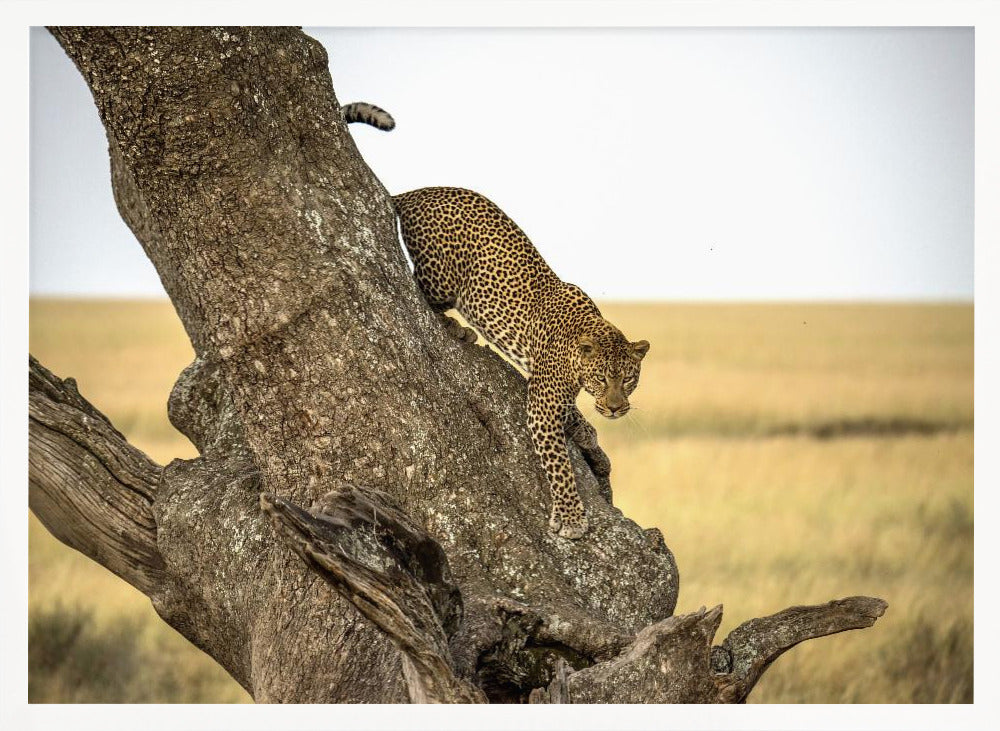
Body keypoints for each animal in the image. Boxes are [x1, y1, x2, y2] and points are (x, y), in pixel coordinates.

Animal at [394, 187, 652, 544]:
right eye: (601, 379)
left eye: (628, 380)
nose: (616, 409)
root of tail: (415, 193)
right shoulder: (543, 403)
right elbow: (560, 465)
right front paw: (571, 518)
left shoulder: (546, 386)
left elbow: (571, 411)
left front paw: (585, 431)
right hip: (442, 277)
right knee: (420, 290)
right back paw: (457, 328)